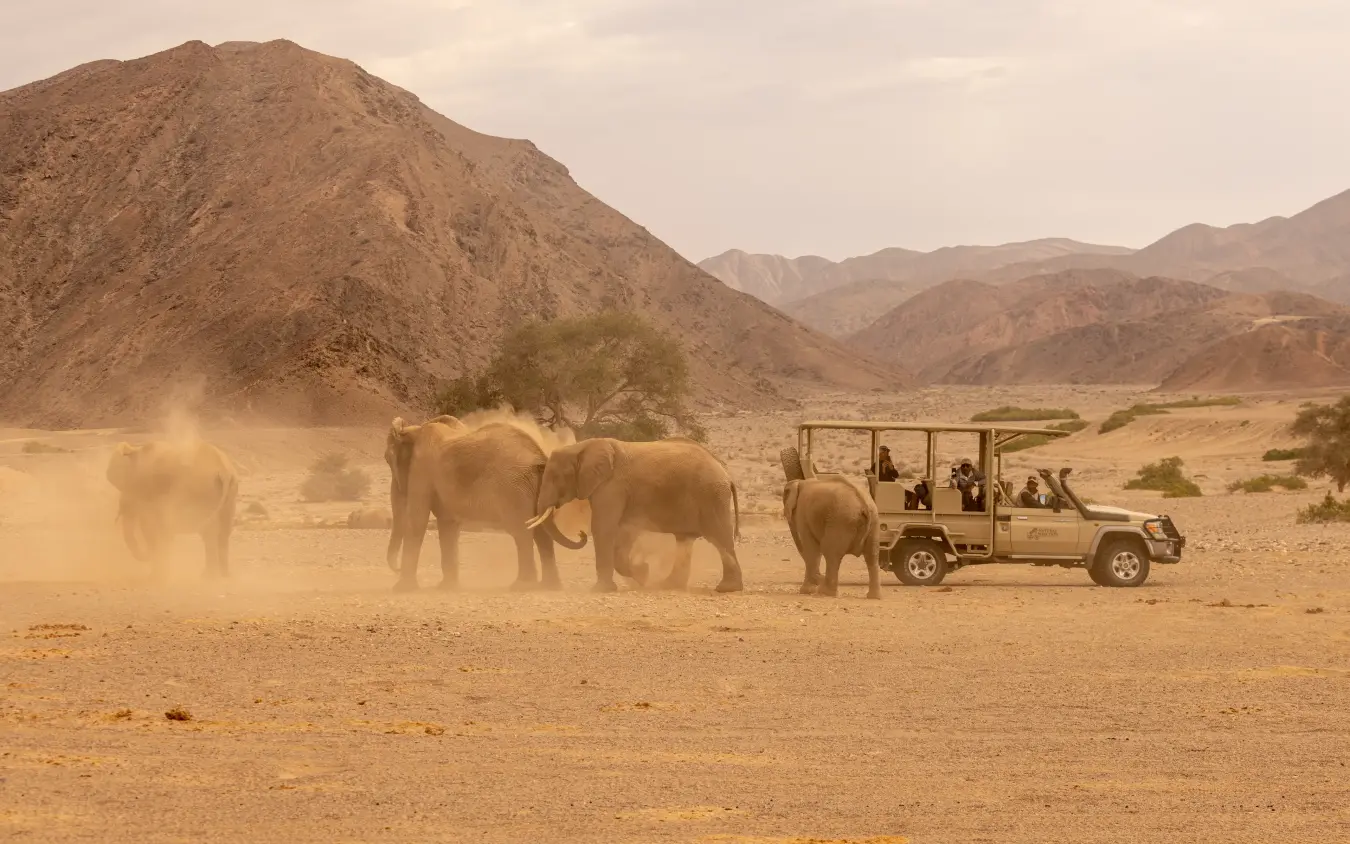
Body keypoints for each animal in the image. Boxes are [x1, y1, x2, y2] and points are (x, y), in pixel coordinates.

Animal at [105, 439, 239, 579]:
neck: (136, 450)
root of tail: (224, 471)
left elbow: (150, 529)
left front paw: (156, 576)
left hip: (202, 493)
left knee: (209, 534)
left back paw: (208, 577)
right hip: (229, 493)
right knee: (223, 534)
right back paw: (224, 577)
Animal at [384, 415, 588, 592]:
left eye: (387, 459)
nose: (396, 569)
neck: (415, 430)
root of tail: (540, 456)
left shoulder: (421, 469)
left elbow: (417, 520)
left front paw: (401, 590)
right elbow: (448, 525)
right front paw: (446, 588)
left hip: (514, 489)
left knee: (521, 531)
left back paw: (521, 586)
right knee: (540, 531)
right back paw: (550, 587)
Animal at [531, 437, 742, 594]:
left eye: (556, 477)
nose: (580, 534)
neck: (582, 446)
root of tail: (726, 474)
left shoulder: (612, 486)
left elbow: (603, 528)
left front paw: (601, 589)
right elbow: (623, 532)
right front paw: (643, 574)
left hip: (711, 495)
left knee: (720, 537)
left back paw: (727, 589)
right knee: (685, 540)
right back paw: (668, 586)